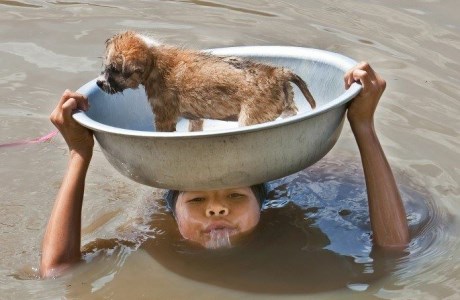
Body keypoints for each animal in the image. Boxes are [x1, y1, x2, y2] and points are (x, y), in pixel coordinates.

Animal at [95, 31, 314, 132]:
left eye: (114, 70)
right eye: (106, 66)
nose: (99, 83)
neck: (154, 60)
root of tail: (277, 72)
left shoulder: (164, 117)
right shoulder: (195, 118)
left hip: (250, 119)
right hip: (287, 106)